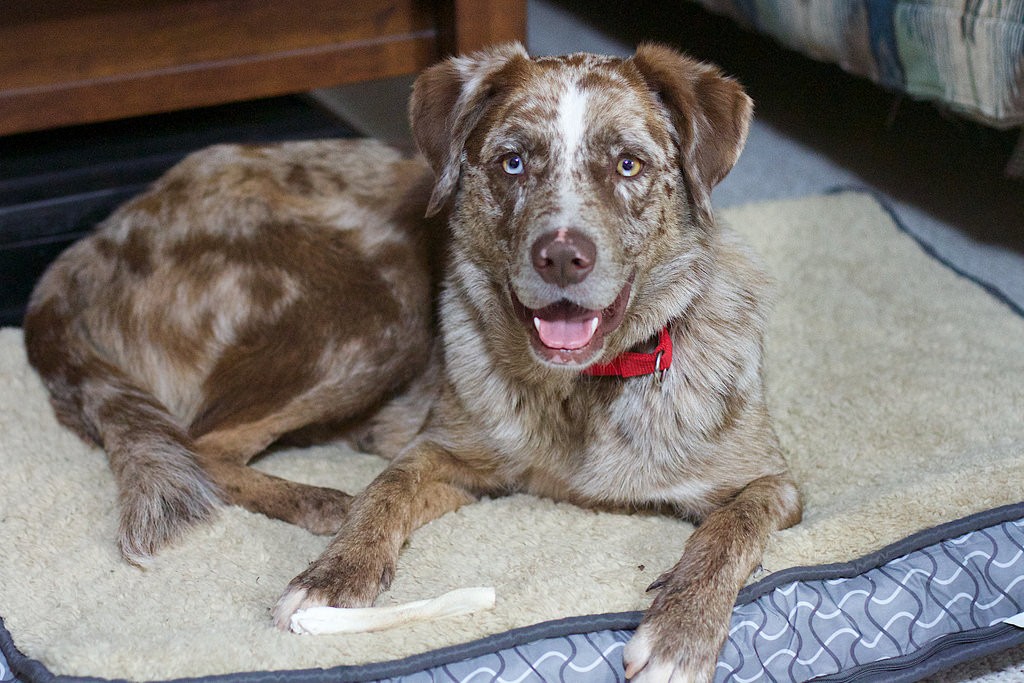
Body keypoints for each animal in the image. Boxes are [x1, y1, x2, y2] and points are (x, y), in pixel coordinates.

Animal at [24, 42, 802, 683]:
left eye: (629, 165)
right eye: (513, 162)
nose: (561, 256)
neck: (579, 389)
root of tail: (97, 238)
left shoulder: (774, 483)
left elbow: (731, 527)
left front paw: (680, 634)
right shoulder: (447, 452)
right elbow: (387, 490)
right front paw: (335, 576)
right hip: (375, 306)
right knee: (205, 443)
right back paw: (322, 499)